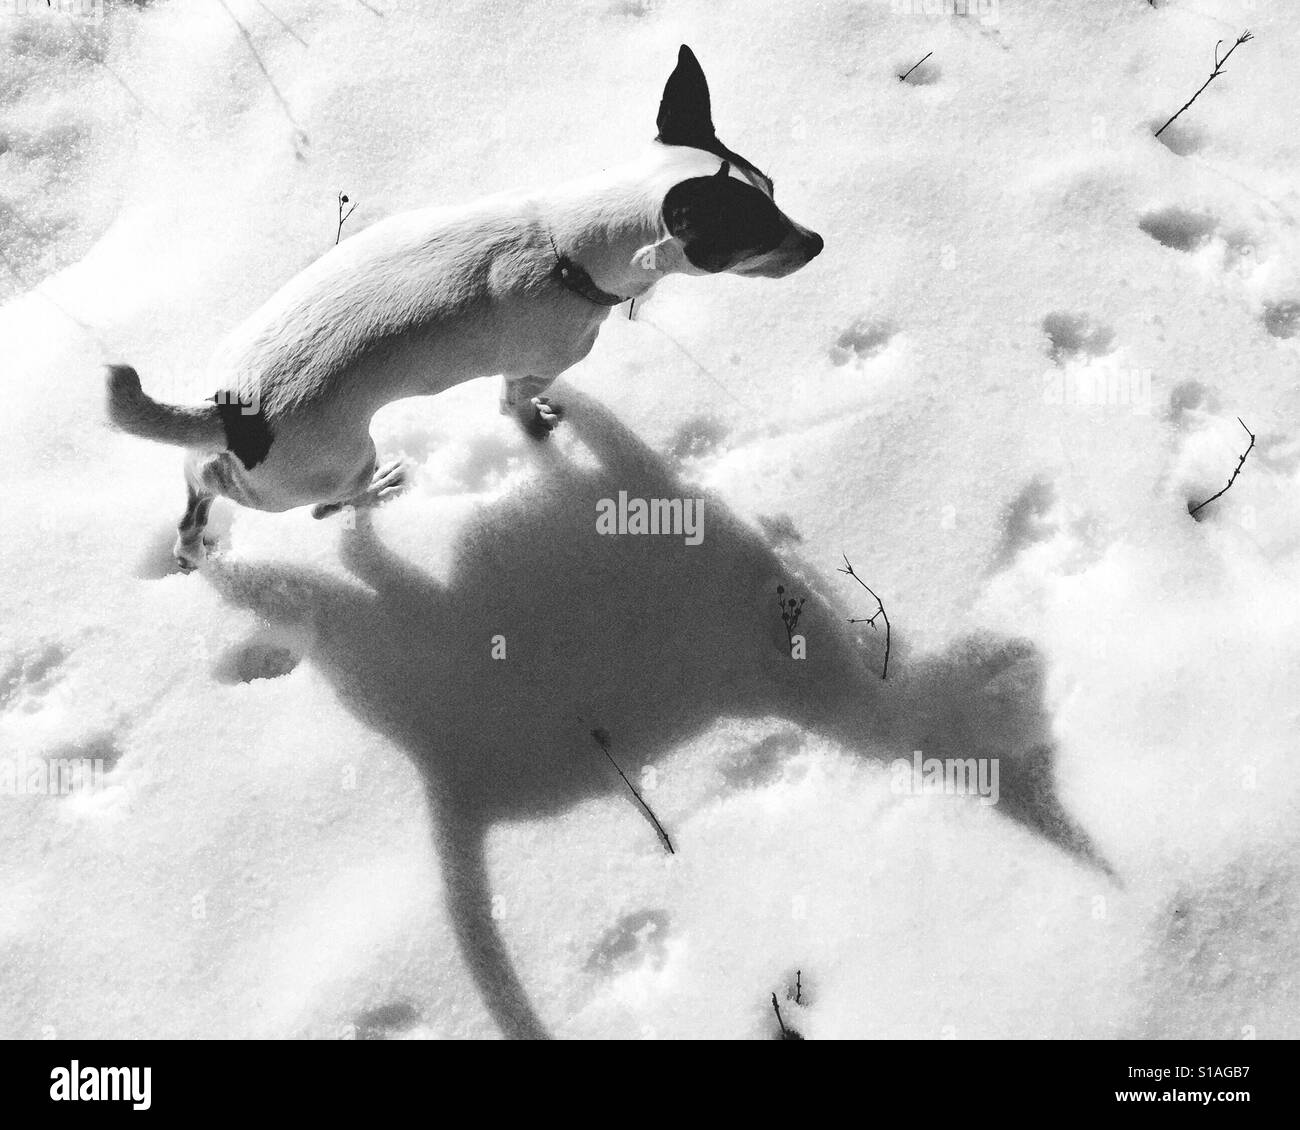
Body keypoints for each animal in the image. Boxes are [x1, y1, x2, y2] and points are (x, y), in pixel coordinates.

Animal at [109, 45, 821, 569]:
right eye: (754, 239)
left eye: (775, 190)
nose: (817, 243)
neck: (564, 242)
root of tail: (234, 410)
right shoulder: (537, 364)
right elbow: (518, 405)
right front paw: (538, 426)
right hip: (331, 465)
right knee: (326, 506)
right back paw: (379, 489)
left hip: (221, 467)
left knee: (197, 496)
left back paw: (191, 547)